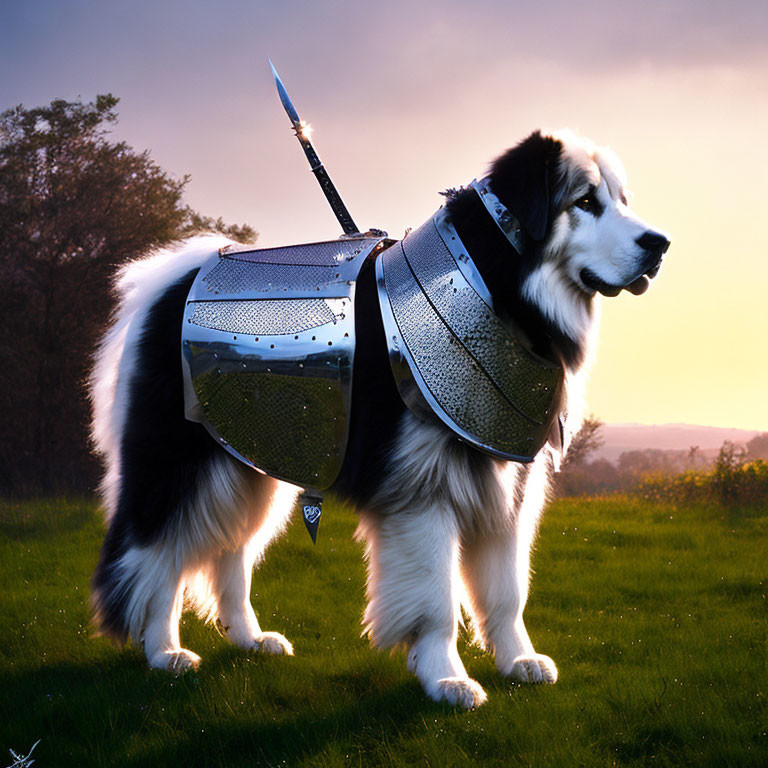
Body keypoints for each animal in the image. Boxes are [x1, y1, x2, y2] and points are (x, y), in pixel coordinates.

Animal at [88, 127, 664, 708]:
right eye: (585, 201)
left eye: (623, 200)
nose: (659, 244)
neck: (500, 287)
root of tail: (171, 279)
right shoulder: (425, 491)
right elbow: (437, 601)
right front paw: (447, 678)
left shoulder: (508, 485)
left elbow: (506, 591)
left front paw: (518, 660)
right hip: (175, 464)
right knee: (153, 554)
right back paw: (164, 650)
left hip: (249, 459)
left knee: (231, 552)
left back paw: (249, 639)